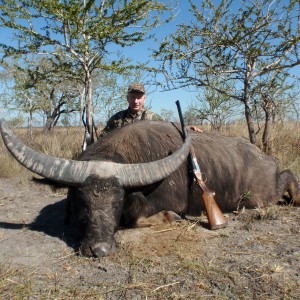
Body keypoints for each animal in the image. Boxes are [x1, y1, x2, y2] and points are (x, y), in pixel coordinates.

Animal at [0, 120, 298, 258]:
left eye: (117, 201)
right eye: (81, 201)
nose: (99, 249)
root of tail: (264, 158)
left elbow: (137, 216)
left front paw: (169, 217)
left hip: (259, 196)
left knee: (287, 176)